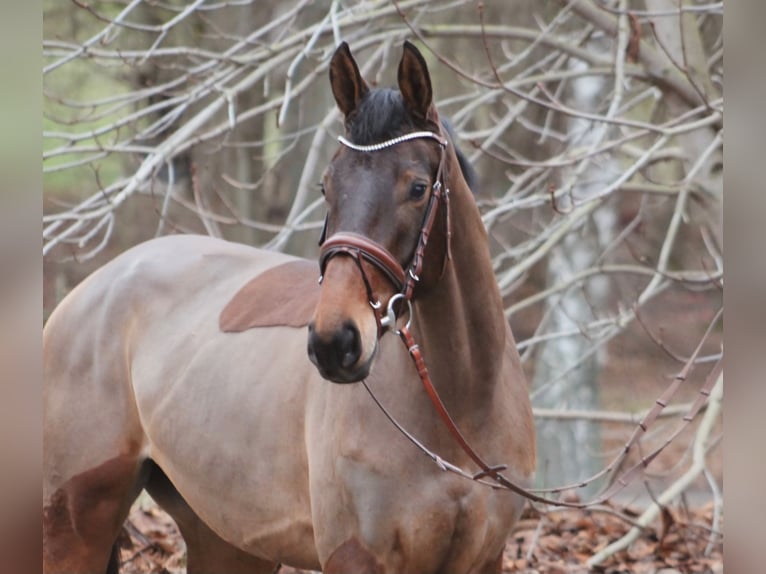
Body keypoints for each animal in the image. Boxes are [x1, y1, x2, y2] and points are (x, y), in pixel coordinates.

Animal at [40, 41, 536, 574]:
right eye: (326, 186)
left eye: (418, 188)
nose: (334, 342)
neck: (460, 406)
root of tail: (88, 292)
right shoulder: (355, 558)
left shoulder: (485, 558)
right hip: (75, 526)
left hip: (226, 540)